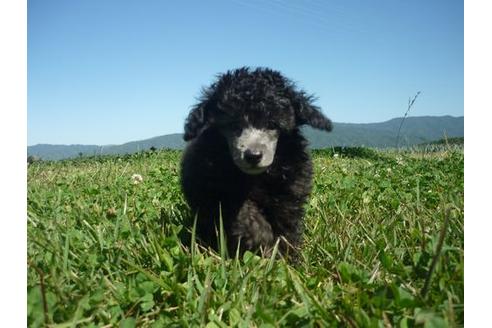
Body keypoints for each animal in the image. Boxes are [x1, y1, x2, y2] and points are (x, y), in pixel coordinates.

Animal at [179, 66, 332, 256]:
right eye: (233, 125)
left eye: (272, 124)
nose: (253, 155)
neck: (257, 177)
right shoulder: (212, 188)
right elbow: (245, 212)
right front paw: (263, 239)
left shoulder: (290, 191)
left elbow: (286, 226)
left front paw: (286, 256)